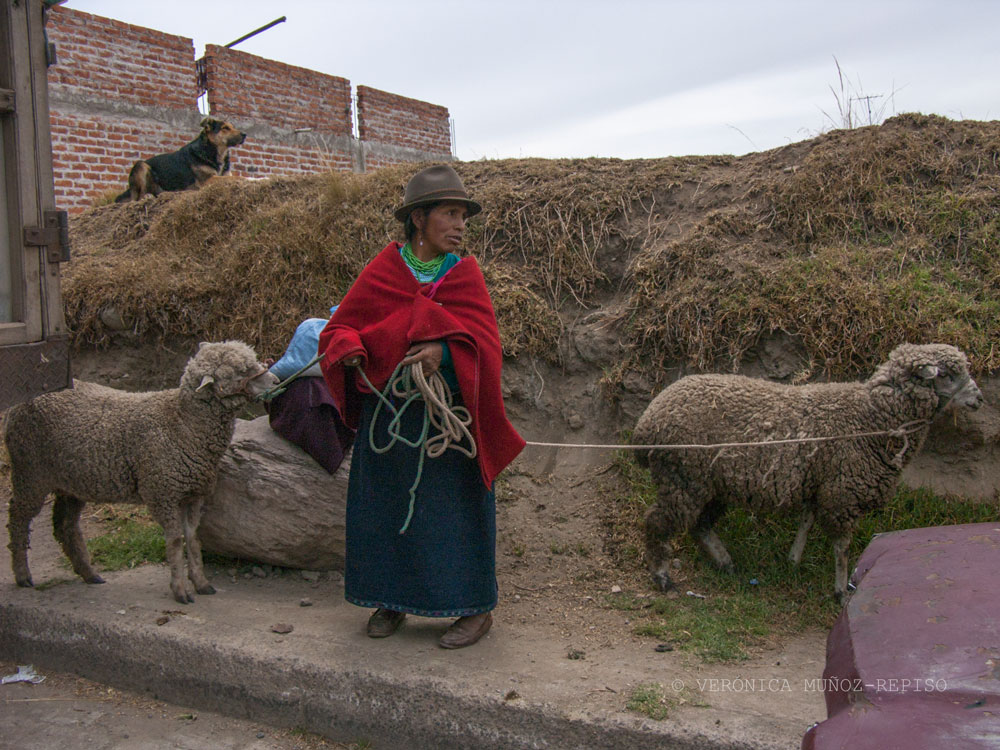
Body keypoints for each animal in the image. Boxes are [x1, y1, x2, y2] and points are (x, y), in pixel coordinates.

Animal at [5, 340, 279, 604]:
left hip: (70, 482)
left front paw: (201, 583)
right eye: (239, 371)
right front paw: (180, 590)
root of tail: (21, 402)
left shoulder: (193, 494)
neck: (182, 423)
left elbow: (192, 539)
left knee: (65, 525)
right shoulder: (161, 492)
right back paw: (23, 575)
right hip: (30, 472)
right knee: (17, 517)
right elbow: (175, 541)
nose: (276, 381)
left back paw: (89, 574)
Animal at [633, 343, 983, 602]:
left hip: (710, 482)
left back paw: (724, 562)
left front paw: (793, 560)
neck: (872, 419)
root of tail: (648, 421)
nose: (979, 398)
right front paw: (840, 592)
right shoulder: (843, 492)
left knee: (700, 524)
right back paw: (662, 576)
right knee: (657, 522)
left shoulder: (821, 484)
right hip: (683, 477)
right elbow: (842, 548)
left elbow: (806, 521)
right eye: (948, 375)